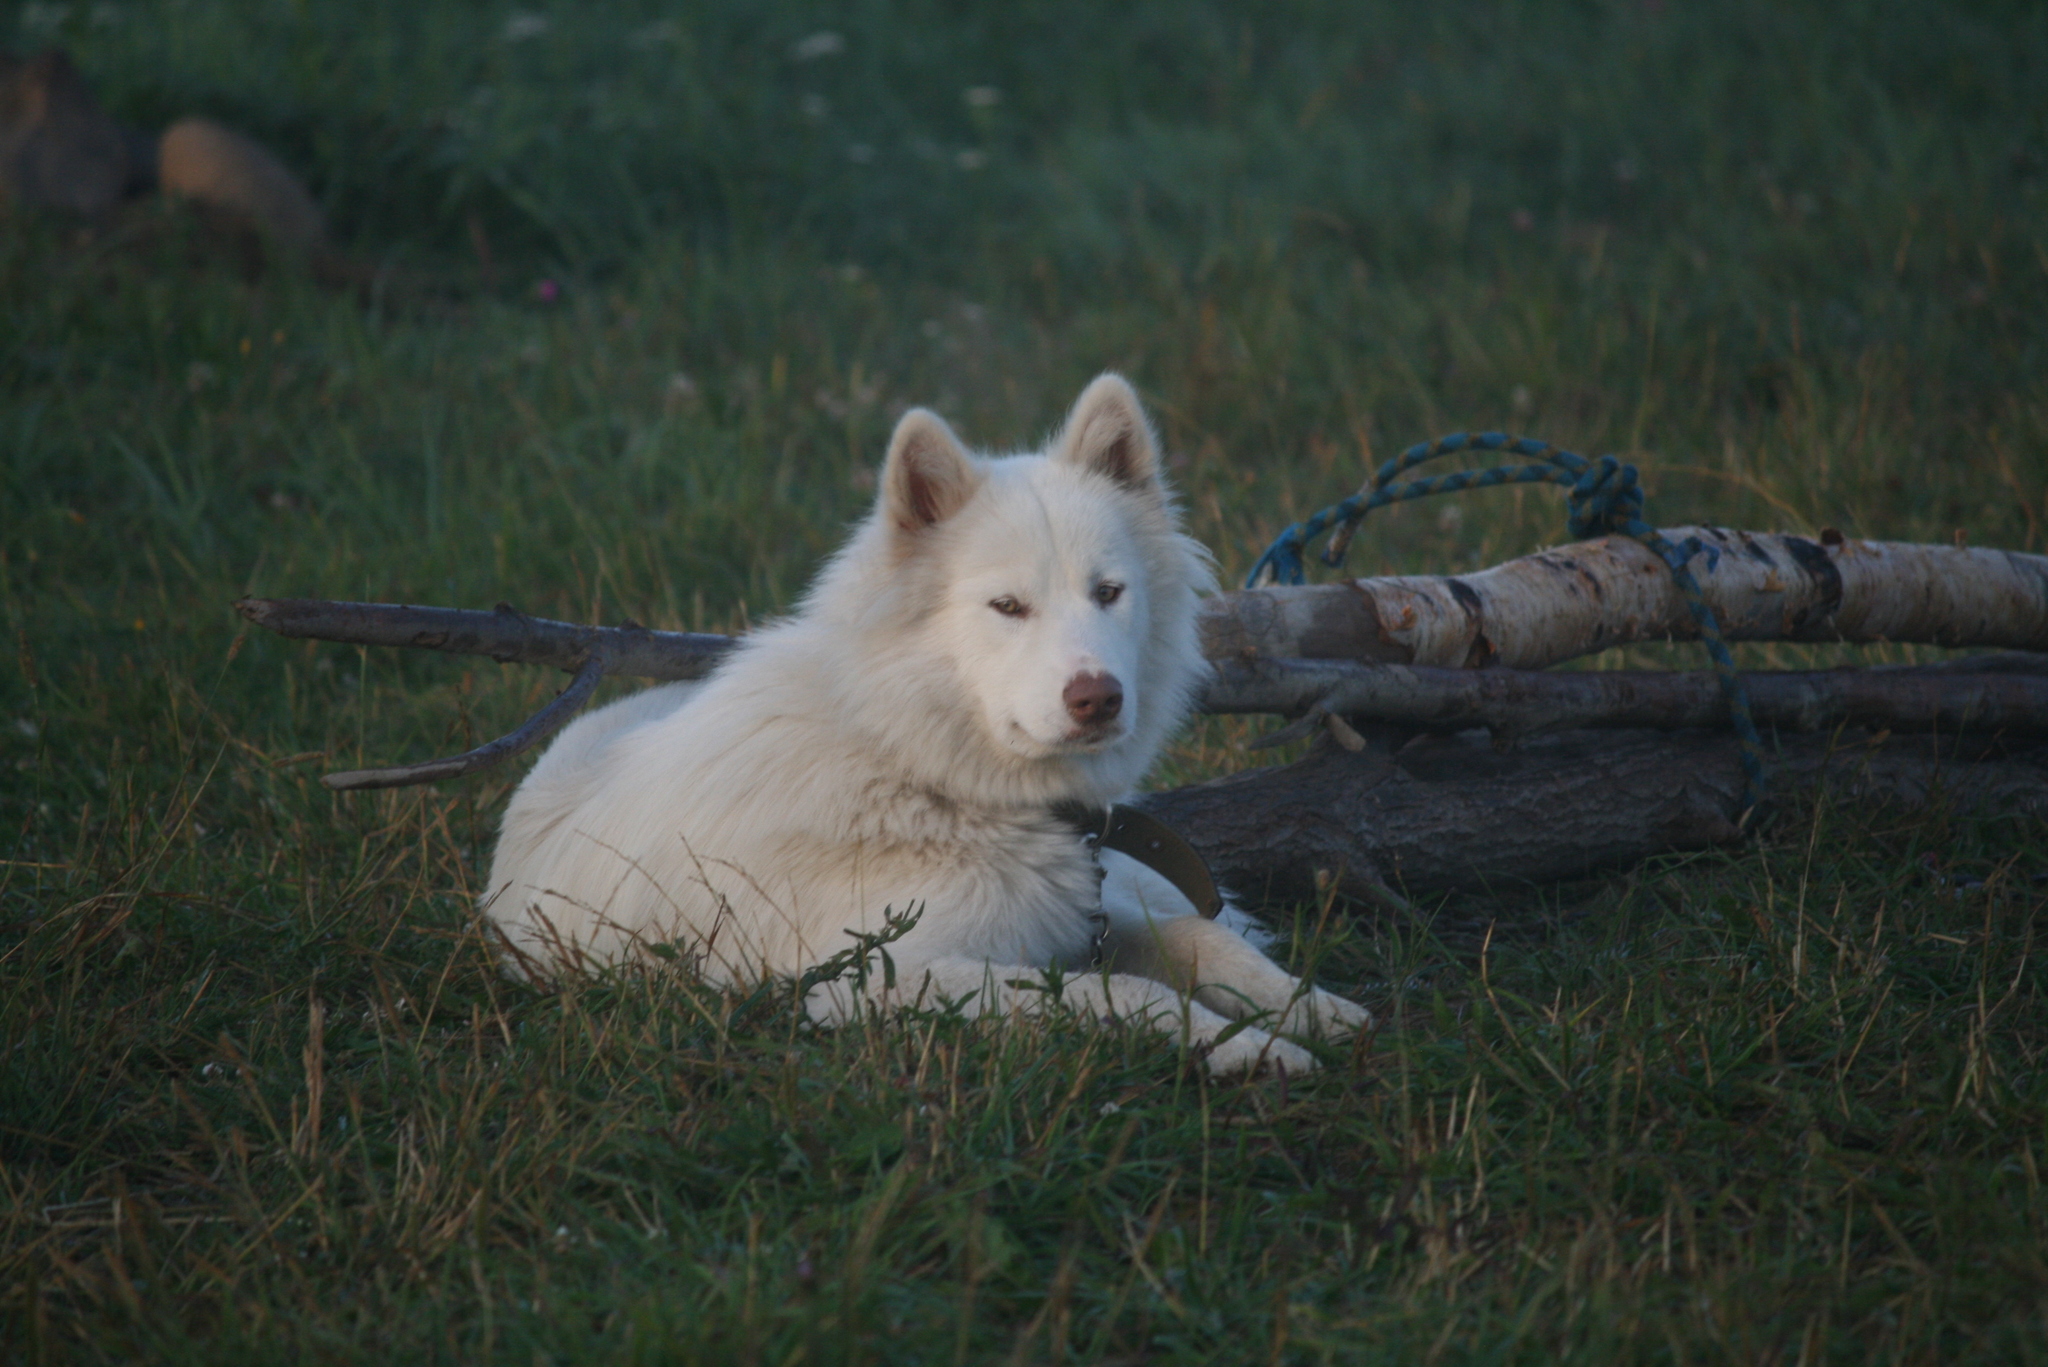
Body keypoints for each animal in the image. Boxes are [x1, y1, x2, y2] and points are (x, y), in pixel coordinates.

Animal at [485, 377, 1368, 1082]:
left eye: (1108, 591)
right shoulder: (869, 978)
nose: (1098, 699)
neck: (919, 766)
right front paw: (1247, 1045)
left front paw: (1312, 1010)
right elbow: (1114, 989)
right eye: (1007, 605)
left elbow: (1199, 939)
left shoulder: (1075, 917)